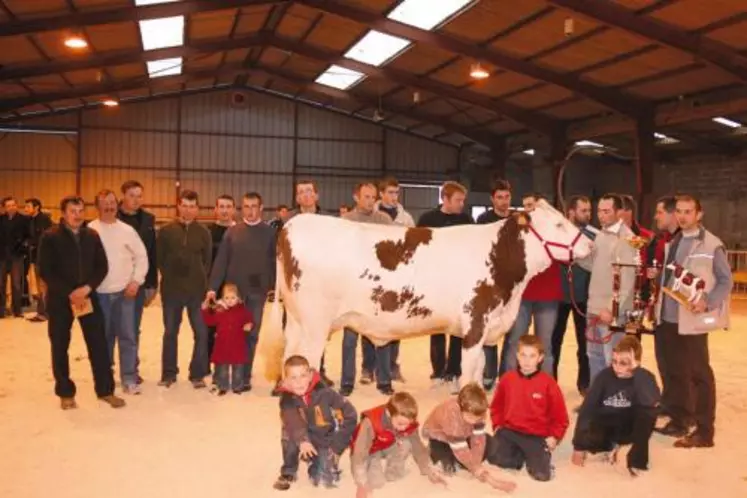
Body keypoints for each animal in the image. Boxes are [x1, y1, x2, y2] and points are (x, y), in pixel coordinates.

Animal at [266, 198, 592, 390]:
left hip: (296, 319)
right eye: (559, 223)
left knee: (291, 357)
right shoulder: (476, 324)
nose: (590, 244)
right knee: (306, 362)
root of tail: (292, 225)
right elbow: (468, 376)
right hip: (315, 323)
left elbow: (475, 375)